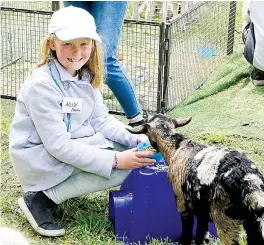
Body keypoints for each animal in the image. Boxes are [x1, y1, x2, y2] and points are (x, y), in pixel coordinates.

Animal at [128, 114, 264, 245]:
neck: (175, 146)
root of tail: (251, 185)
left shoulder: (181, 201)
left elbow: (187, 227)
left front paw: (183, 241)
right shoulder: (201, 207)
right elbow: (201, 231)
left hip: (224, 218)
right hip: (255, 222)